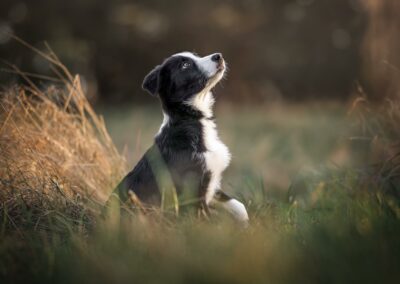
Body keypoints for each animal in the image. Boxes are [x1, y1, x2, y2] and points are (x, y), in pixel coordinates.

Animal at [112, 52, 248, 223]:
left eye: (196, 56)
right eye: (185, 65)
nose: (218, 56)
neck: (189, 119)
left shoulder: (211, 183)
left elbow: (240, 207)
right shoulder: (193, 192)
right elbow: (208, 222)